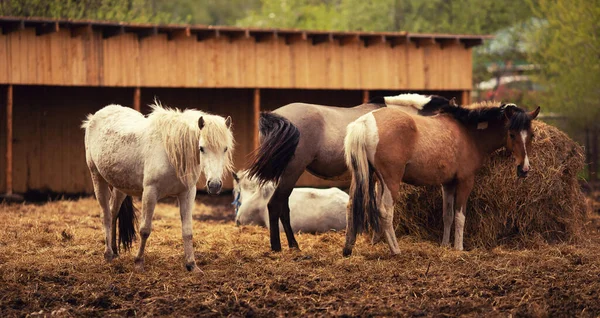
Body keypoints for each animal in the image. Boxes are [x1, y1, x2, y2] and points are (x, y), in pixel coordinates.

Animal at [82, 103, 234, 272]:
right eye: (201, 148)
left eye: (225, 149)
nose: (214, 185)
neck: (171, 152)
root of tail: (94, 117)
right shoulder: (150, 192)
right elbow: (145, 230)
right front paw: (139, 263)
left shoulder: (187, 193)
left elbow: (187, 231)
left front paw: (192, 265)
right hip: (97, 177)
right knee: (106, 215)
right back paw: (108, 254)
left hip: (120, 185)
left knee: (113, 211)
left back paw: (115, 251)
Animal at [246, 93, 452, 252]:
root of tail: (275, 116)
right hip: (292, 171)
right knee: (275, 205)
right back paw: (278, 247)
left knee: (283, 208)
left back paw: (292, 245)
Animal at [342, 102, 540, 256]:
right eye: (512, 134)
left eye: (531, 135)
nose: (524, 168)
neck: (469, 133)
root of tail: (365, 122)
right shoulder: (465, 181)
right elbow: (460, 216)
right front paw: (458, 247)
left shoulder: (448, 184)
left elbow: (448, 215)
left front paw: (445, 245)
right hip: (390, 181)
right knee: (385, 211)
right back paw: (396, 250)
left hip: (365, 177)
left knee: (351, 205)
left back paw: (348, 249)